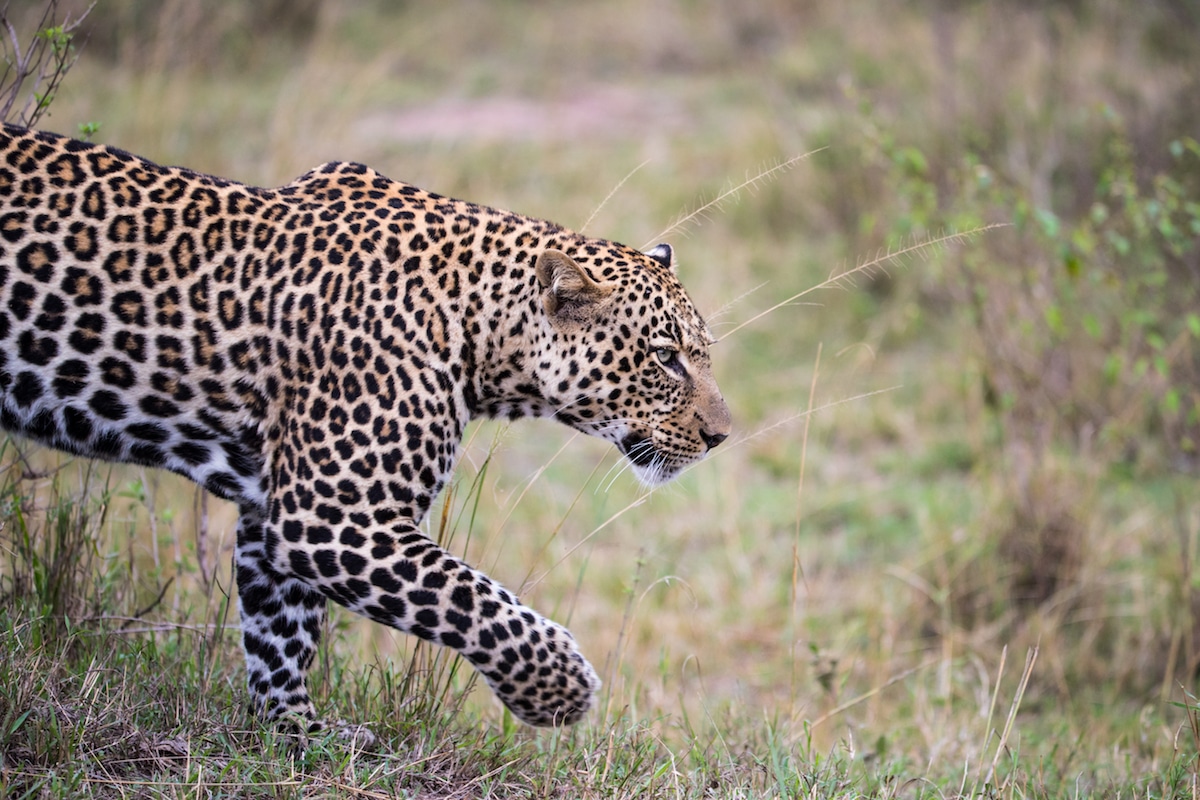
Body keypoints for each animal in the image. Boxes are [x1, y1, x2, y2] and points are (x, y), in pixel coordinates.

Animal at [0, 123, 729, 734]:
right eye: (665, 357)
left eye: (702, 353)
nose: (722, 435)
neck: (477, 331)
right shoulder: (330, 513)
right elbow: (469, 597)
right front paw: (558, 689)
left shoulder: (276, 513)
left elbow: (281, 629)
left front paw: (297, 732)